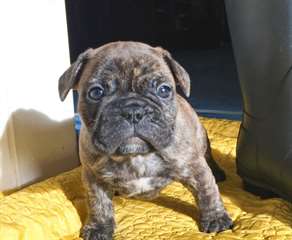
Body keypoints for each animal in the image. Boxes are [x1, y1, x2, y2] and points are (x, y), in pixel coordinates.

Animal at [58, 41, 233, 240]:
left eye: (163, 90)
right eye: (96, 92)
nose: (133, 111)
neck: (136, 155)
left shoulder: (195, 168)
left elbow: (207, 192)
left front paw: (216, 218)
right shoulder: (93, 176)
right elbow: (98, 203)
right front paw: (98, 228)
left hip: (203, 141)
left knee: (209, 158)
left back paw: (218, 173)